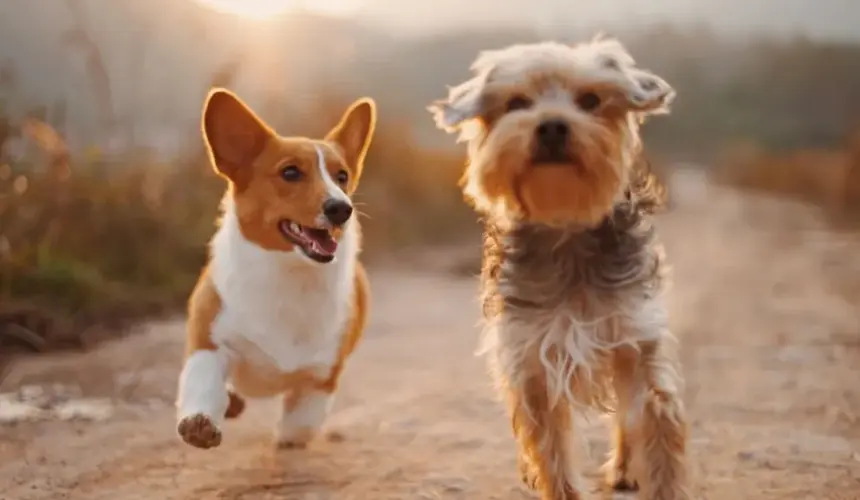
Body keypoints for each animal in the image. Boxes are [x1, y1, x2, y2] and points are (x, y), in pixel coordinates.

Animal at [176, 87, 376, 450]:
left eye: (342, 176)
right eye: (290, 173)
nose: (342, 208)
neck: (289, 273)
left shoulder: (321, 377)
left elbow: (300, 424)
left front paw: (287, 437)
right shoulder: (210, 341)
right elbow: (203, 382)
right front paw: (200, 422)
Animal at [430, 36, 692, 500]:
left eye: (590, 100)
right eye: (517, 102)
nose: (552, 126)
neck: (565, 226)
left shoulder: (635, 335)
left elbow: (656, 415)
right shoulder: (531, 355)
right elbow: (548, 443)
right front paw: (555, 482)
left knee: (625, 417)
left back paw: (624, 468)